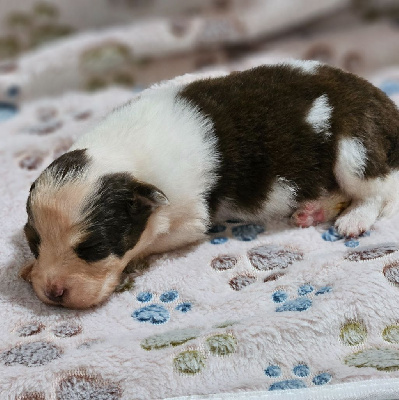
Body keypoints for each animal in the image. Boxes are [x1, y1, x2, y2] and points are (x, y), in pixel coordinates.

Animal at [20, 60, 399, 310]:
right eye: (33, 242)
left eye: (94, 248)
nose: (52, 293)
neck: (121, 154)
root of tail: (386, 104)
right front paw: (29, 269)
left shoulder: (189, 218)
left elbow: (150, 242)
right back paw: (313, 210)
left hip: (355, 145)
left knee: (377, 190)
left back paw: (353, 220)